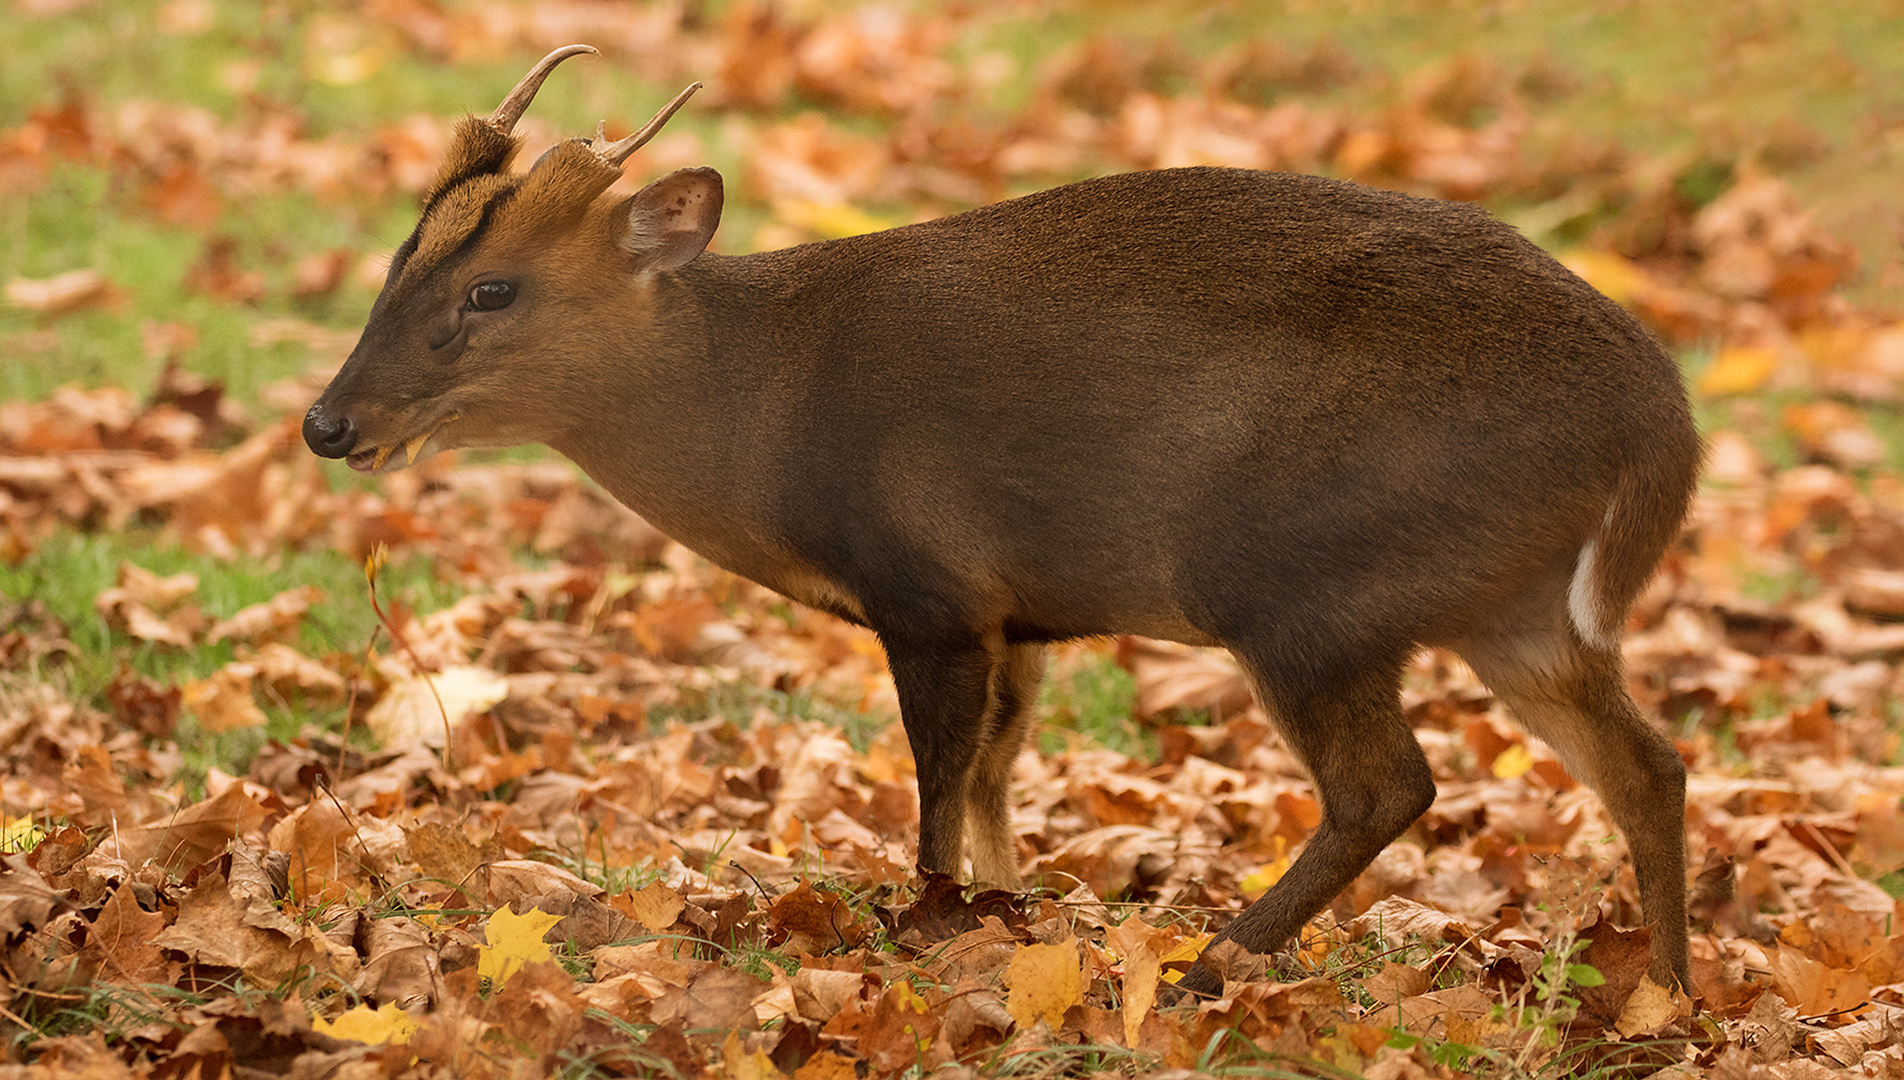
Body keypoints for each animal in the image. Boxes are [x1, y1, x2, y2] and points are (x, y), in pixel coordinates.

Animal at [304, 46, 1705, 998]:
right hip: (1509, 603)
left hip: (1304, 581)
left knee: (1387, 784)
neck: (755, 414)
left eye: (493, 289)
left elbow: (935, 776)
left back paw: (1210, 963)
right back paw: (1665, 992)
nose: (327, 421)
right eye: (398, 259)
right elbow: (992, 777)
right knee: (1648, 762)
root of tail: (1661, 423)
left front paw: (921, 927)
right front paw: (1010, 913)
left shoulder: (924, 589)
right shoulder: (1017, 613)